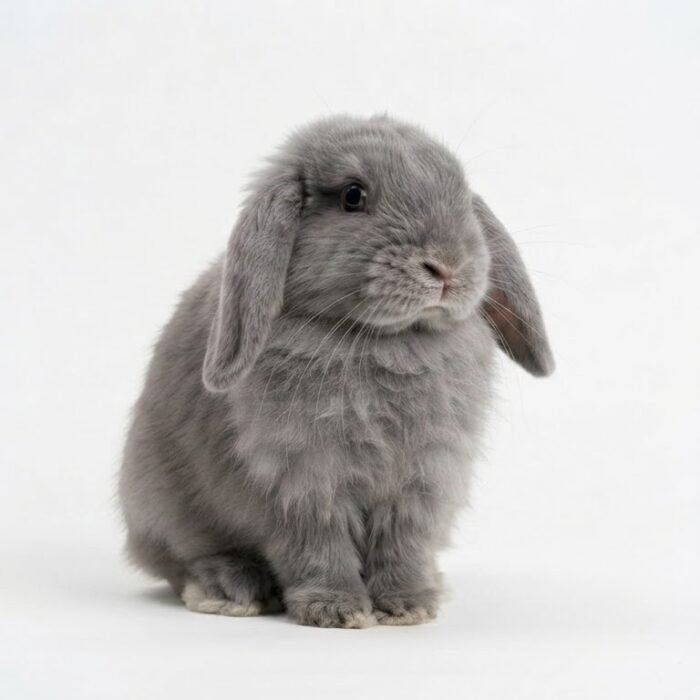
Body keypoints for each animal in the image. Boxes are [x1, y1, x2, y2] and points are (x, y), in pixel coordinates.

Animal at [118, 114, 554, 628]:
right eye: (352, 195)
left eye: (462, 194)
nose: (447, 266)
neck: (385, 340)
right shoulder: (301, 478)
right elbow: (318, 547)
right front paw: (336, 610)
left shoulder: (424, 479)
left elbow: (403, 545)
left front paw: (408, 604)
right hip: (165, 509)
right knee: (181, 560)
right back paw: (229, 588)